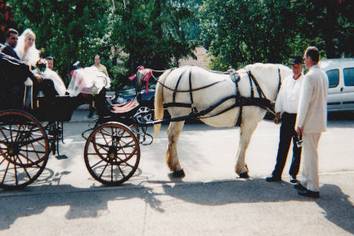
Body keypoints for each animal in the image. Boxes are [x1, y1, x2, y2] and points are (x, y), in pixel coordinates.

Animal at [153, 63, 292, 178]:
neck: (257, 85)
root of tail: (172, 71)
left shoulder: (244, 123)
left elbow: (241, 143)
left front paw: (242, 166)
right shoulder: (249, 122)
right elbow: (245, 143)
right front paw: (242, 169)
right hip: (179, 115)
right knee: (173, 137)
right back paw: (177, 168)